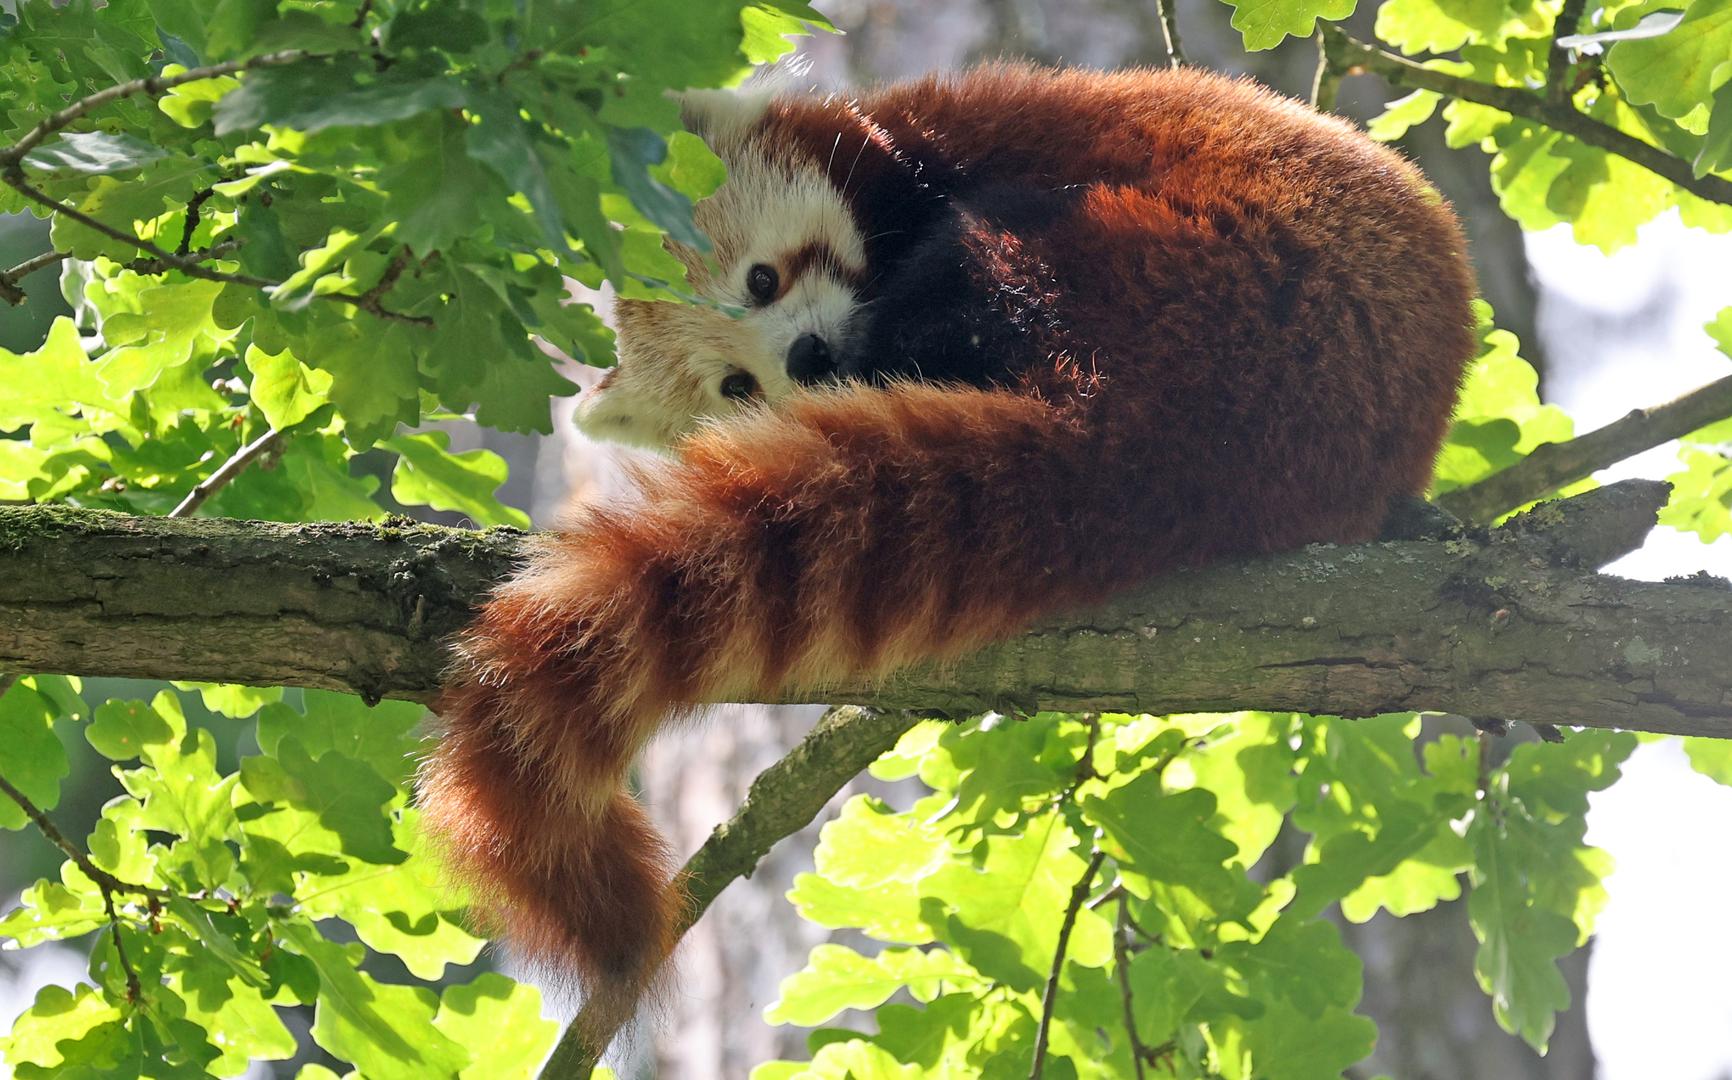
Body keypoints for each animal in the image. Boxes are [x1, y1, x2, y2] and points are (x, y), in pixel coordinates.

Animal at [419, 63, 1475, 1024]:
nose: (811, 359)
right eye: (735, 387)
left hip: (1197, 263)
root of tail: (1183, 432)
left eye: (761, 280)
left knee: (994, 252)